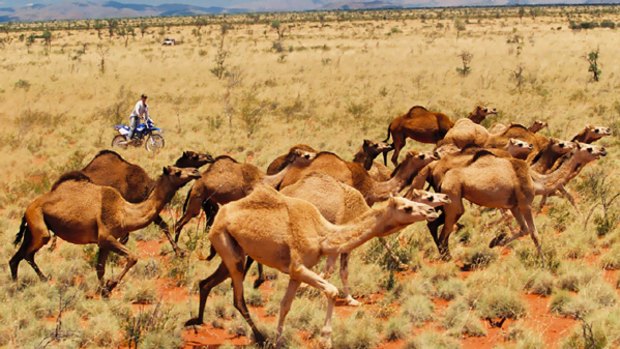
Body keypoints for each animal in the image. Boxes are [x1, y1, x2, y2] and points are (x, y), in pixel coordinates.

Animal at [9, 165, 200, 294]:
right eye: (177, 171)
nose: (195, 171)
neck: (125, 213)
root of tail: (27, 208)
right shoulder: (106, 237)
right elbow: (132, 257)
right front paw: (110, 285)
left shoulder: (103, 243)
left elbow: (100, 268)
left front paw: (104, 291)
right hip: (39, 226)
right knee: (26, 253)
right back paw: (20, 287)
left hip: (32, 230)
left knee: (20, 257)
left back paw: (34, 282)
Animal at [173, 148, 314, 241]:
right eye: (301, 153)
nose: (310, 156)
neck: (264, 180)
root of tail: (192, 187)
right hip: (197, 198)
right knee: (180, 223)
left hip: (208, 200)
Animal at [182, 184, 438, 346]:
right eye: (407, 207)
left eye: (413, 201)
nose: (432, 211)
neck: (323, 235)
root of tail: (220, 215)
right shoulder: (299, 267)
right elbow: (332, 290)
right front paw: (326, 338)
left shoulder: (296, 274)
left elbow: (285, 305)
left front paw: (279, 339)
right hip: (227, 247)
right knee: (238, 299)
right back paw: (259, 336)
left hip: (233, 251)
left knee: (206, 283)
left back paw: (195, 322)